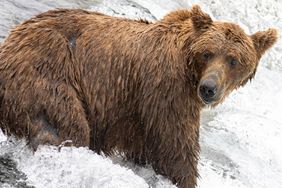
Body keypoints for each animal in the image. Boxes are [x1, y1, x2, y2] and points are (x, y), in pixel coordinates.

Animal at [0, 5, 278, 187]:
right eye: (208, 53)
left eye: (233, 60)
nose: (209, 88)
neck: (188, 67)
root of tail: (10, 40)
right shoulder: (165, 89)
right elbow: (175, 147)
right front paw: (185, 177)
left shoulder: (139, 117)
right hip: (45, 73)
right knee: (65, 126)